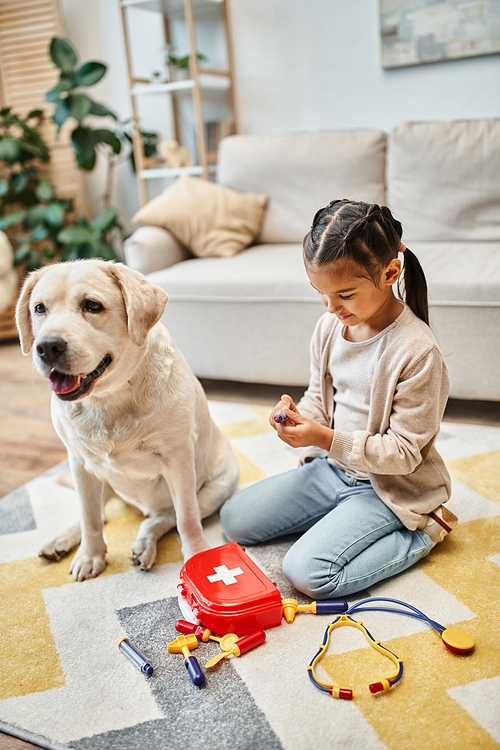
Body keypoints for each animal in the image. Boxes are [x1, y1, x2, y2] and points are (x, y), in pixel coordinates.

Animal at [16, 262, 239, 584]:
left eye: (92, 306)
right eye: (39, 308)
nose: (47, 347)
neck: (109, 399)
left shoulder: (179, 460)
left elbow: (186, 518)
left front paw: (198, 557)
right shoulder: (79, 463)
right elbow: (90, 518)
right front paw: (90, 555)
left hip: (220, 485)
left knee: (164, 517)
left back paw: (145, 545)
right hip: (99, 479)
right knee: (97, 514)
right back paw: (61, 541)